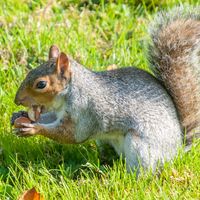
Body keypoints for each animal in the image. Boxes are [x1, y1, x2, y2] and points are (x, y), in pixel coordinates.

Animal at [10, 6, 200, 172]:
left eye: (41, 84)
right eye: (30, 71)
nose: (17, 100)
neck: (68, 94)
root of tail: (176, 150)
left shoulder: (86, 112)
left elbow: (71, 134)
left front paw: (34, 129)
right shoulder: (59, 112)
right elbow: (49, 118)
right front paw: (20, 115)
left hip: (141, 148)